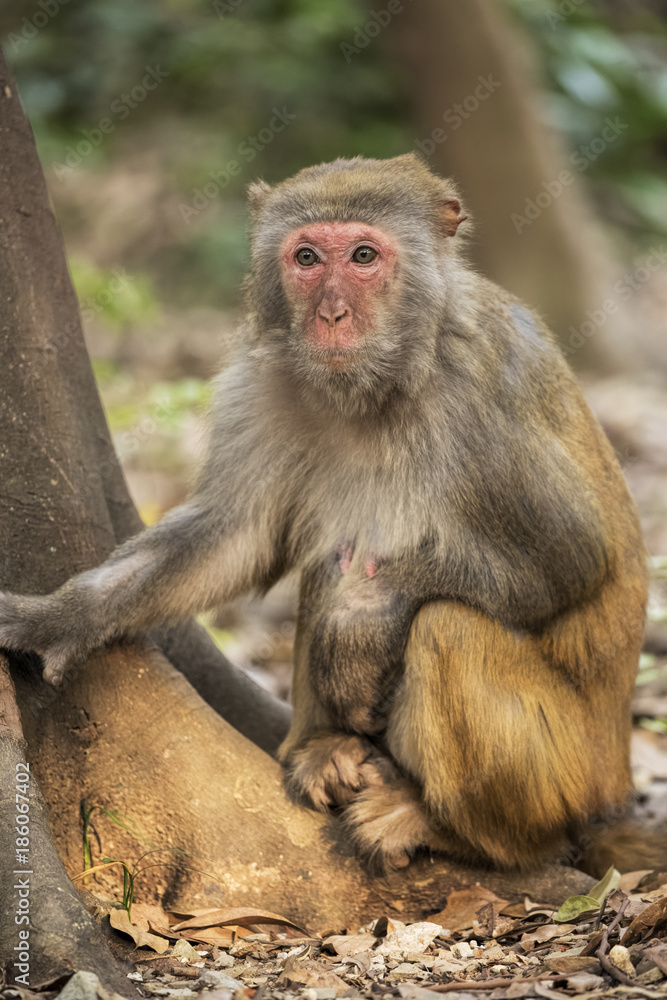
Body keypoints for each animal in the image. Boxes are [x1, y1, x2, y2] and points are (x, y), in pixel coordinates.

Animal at [0, 153, 653, 876]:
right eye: (307, 258)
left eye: (364, 256)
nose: (331, 315)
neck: (386, 380)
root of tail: (614, 784)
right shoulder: (259, 378)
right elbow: (234, 535)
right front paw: (59, 619)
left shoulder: (483, 387)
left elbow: (570, 555)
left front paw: (361, 620)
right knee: (330, 554)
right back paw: (326, 746)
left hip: (565, 778)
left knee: (446, 625)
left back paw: (458, 829)